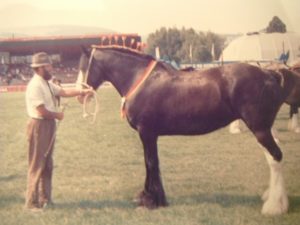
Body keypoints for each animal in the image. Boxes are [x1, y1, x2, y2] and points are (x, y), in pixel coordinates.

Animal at [75, 44, 300, 215]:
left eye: (84, 66)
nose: (79, 94)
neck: (140, 80)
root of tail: (269, 73)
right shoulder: (150, 135)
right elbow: (151, 163)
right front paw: (152, 198)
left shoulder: (147, 133)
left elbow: (150, 163)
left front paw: (151, 200)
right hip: (263, 128)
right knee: (272, 157)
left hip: (260, 128)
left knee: (275, 156)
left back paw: (274, 206)